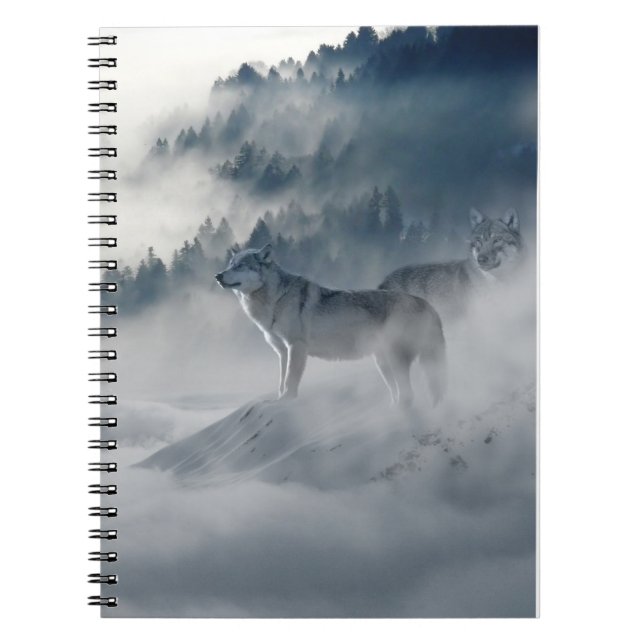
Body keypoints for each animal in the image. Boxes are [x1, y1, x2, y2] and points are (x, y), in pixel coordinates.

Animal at [215, 244, 446, 406]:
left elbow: (289, 381)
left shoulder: (296, 347)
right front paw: (277, 401)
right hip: (383, 363)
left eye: (240, 266)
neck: (275, 300)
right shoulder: (282, 351)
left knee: (409, 395)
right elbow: (281, 382)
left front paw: (286, 402)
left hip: (395, 360)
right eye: (229, 265)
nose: (218, 275)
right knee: (400, 394)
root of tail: (427, 304)